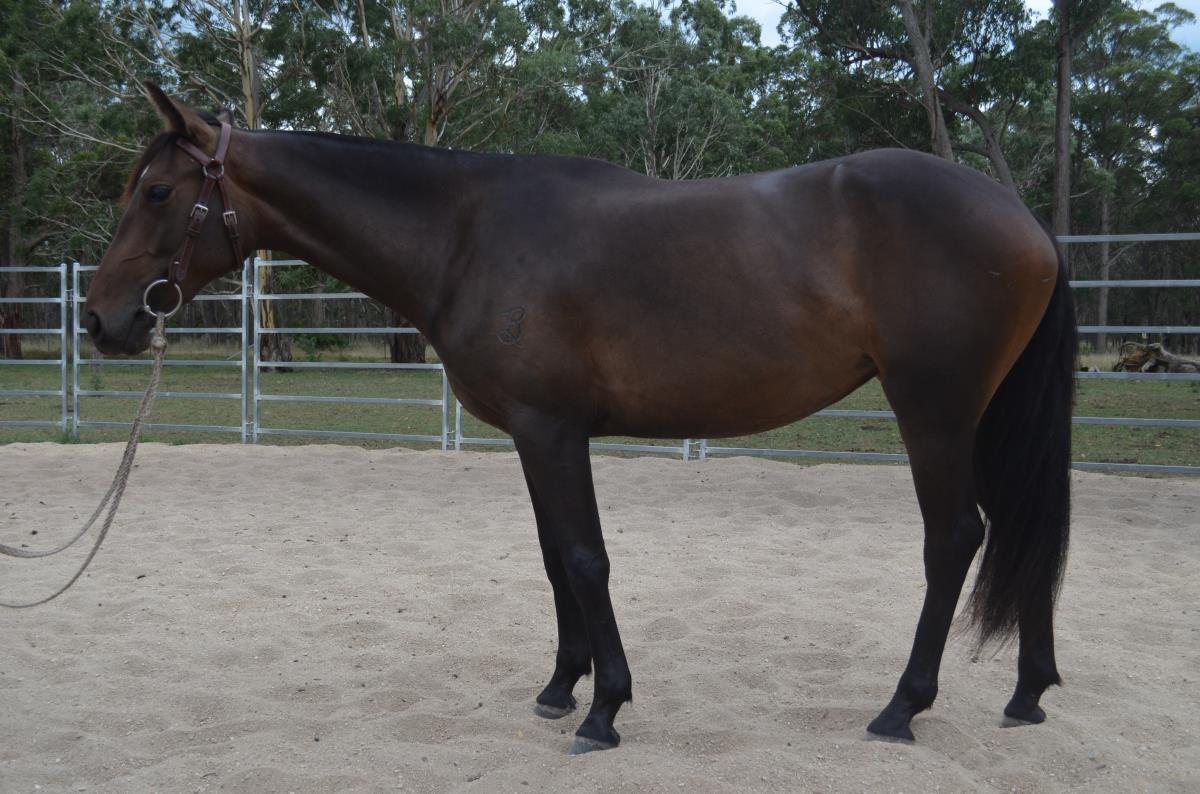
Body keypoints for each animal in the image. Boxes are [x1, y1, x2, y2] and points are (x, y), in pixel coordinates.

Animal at [84, 83, 1077, 754]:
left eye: (159, 193)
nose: (102, 319)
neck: (467, 233)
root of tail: (1025, 221)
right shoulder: (534, 437)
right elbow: (553, 557)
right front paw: (562, 686)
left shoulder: (552, 429)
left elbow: (585, 557)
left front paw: (603, 710)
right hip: (983, 420)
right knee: (1025, 532)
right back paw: (1028, 693)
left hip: (935, 413)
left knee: (955, 538)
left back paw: (902, 707)